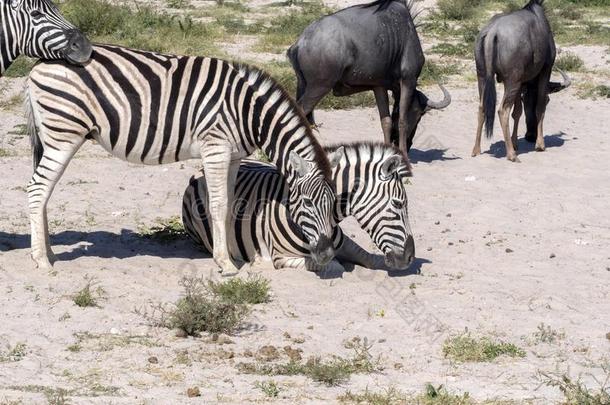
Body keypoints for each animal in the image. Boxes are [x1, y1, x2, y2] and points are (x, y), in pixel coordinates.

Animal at [25, 44, 338, 274]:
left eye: (335, 203)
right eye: (307, 202)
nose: (325, 256)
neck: (249, 112)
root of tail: (39, 64)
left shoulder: (234, 155)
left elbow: (231, 204)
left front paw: (231, 255)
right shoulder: (216, 147)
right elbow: (218, 204)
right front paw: (225, 265)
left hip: (55, 137)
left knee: (43, 192)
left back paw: (47, 252)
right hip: (64, 135)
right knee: (37, 190)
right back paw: (41, 260)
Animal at [183, 142, 416, 272]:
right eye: (398, 204)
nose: (410, 258)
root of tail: (198, 173)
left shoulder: (343, 243)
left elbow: (368, 257)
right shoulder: (281, 257)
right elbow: (331, 264)